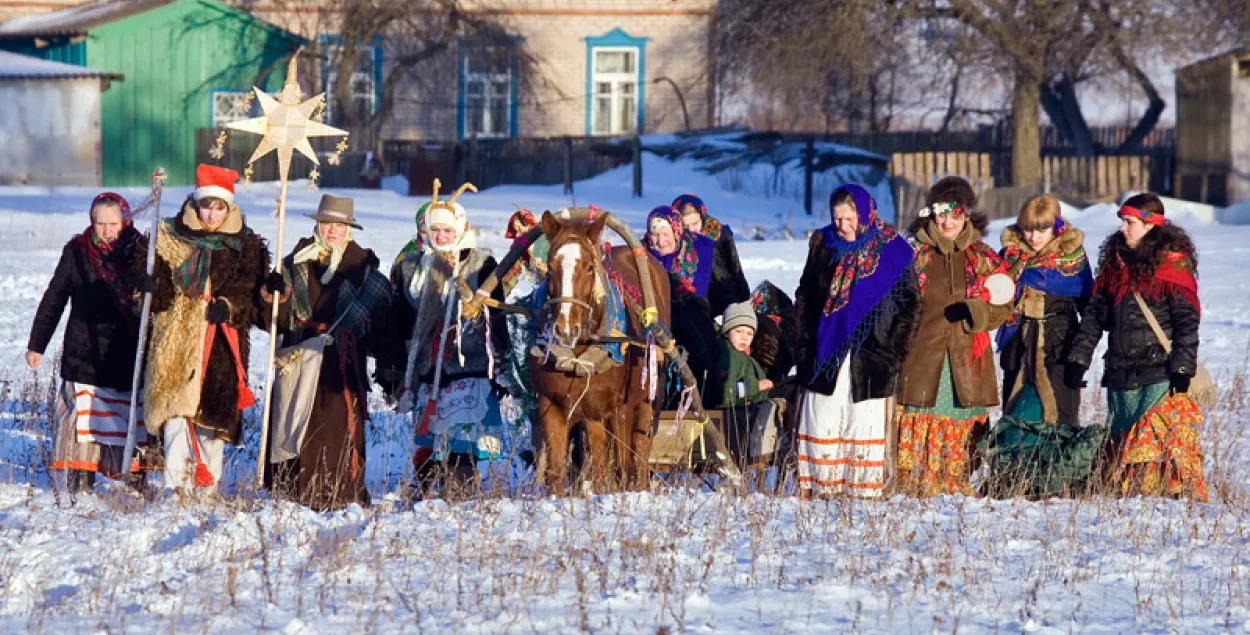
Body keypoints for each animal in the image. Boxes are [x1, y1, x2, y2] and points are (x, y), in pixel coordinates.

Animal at [532, 211, 680, 492]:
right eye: (550, 267)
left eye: (590, 267)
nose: (565, 329)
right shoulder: (551, 405)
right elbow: (556, 472)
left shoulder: (611, 409)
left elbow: (616, 468)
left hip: (646, 400)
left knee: (638, 457)